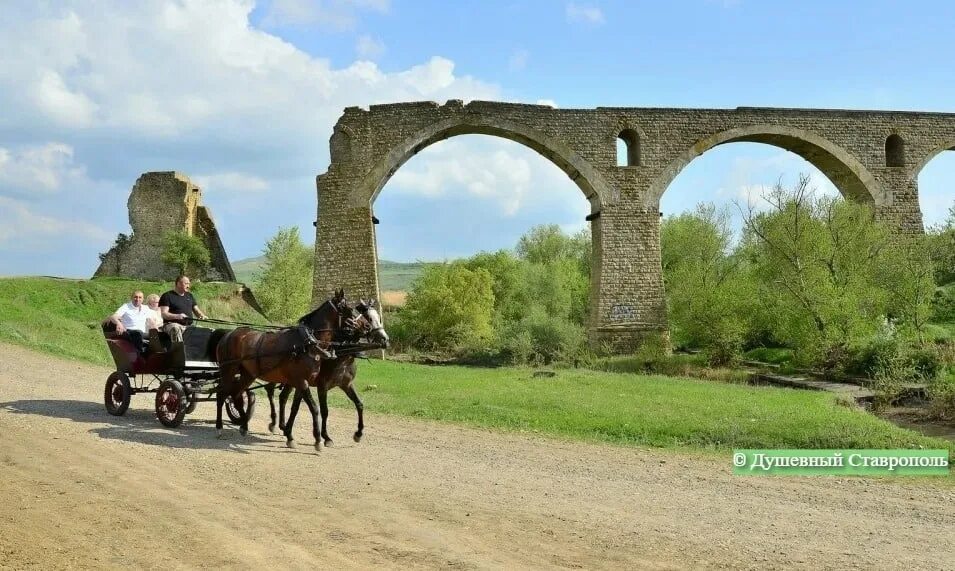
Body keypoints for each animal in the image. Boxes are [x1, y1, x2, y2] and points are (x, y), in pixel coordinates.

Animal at [214, 290, 358, 452]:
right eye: (346, 307)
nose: (359, 326)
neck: (307, 343)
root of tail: (228, 334)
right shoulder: (302, 381)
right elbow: (314, 408)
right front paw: (317, 440)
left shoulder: (301, 382)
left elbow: (295, 407)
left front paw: (289, 434)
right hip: (228, 370)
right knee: (221, 394)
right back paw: (219, 427)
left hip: (247, 374)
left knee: (236, 395)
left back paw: (244, 426)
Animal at [266, 300, 388, 446]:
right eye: (368, 318)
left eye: (379, 318)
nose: (385, 340)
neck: (340, 355)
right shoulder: (322, 386)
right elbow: (324, 411)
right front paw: (326, 437)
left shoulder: (346, 385)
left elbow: (359, 404)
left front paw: (358, 433)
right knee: (271, 392)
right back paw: (274, 423)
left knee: (283, 397)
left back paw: (282, 426)